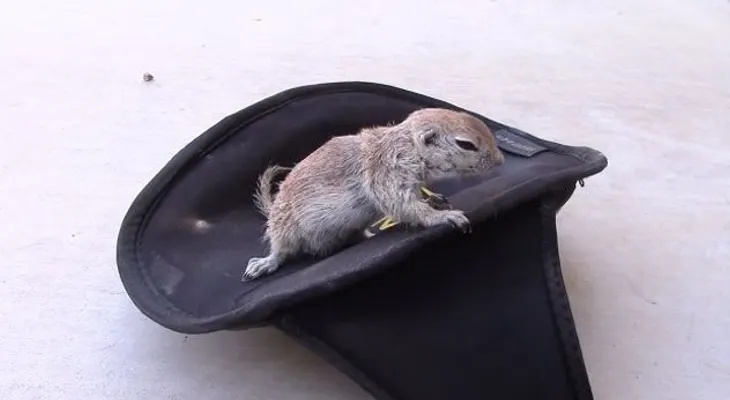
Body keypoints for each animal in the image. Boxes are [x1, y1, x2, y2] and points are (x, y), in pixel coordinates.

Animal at [242, 108, 505, 281]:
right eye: (466, 144)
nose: (501, 161)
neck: (407, 144)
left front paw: (435, 199)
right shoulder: (387, 170)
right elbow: (403, 205)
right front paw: (443, 216)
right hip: (284, 227)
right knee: (281, 250)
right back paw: (265, 263)